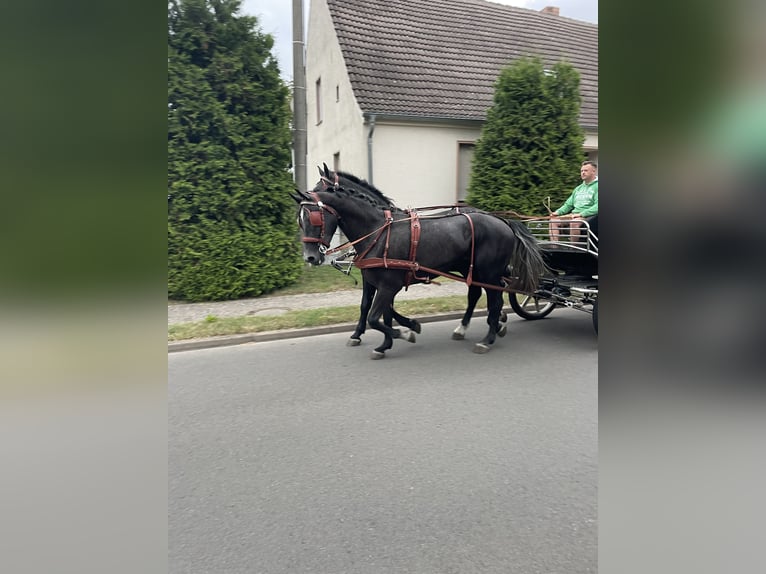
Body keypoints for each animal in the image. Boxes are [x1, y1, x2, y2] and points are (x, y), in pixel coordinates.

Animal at [296, 166, 544, 360]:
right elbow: (374, 310)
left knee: (495, 300)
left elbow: (376, 316)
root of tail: (502, 221)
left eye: (314, 217)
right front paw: (384, 341)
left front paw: (404, 333)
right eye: (301, 220)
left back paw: (488, 337)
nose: (310, 257)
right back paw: (468, 328)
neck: (378, 231)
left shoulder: (388, 285)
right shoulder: (377, 282)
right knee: (476, 294)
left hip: (489, 272)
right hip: (472, 269)